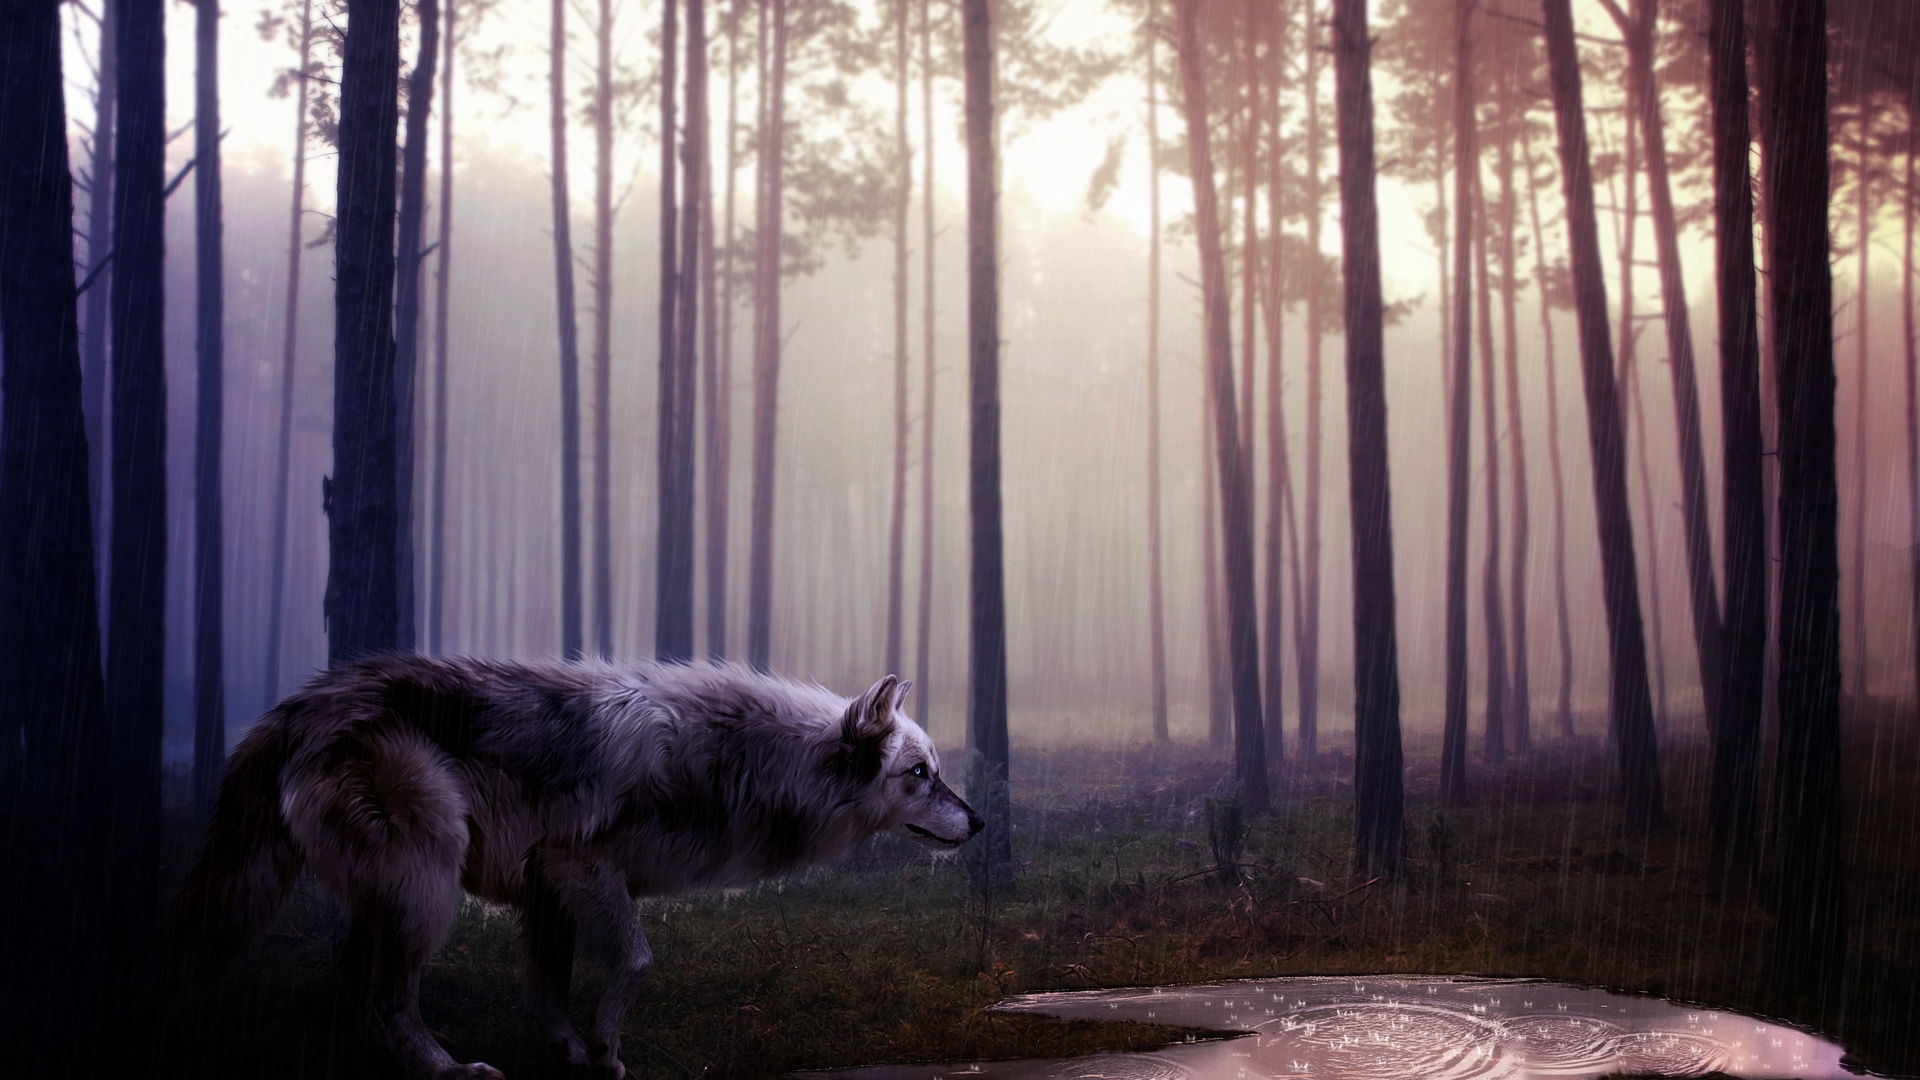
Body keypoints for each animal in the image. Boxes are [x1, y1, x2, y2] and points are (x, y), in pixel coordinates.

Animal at [158, 655, 981, 1080]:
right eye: (919, 775)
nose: (979, 822)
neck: (740, 761)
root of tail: (297, 706)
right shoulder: (577, 864)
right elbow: (640, 960)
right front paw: (608, 1050)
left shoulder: (544, 886)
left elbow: (549, 988)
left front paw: (569, 1052)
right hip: (428, 886)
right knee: (387, 992)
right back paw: (448, 1073)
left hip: (397, 892)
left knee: (356, 976)